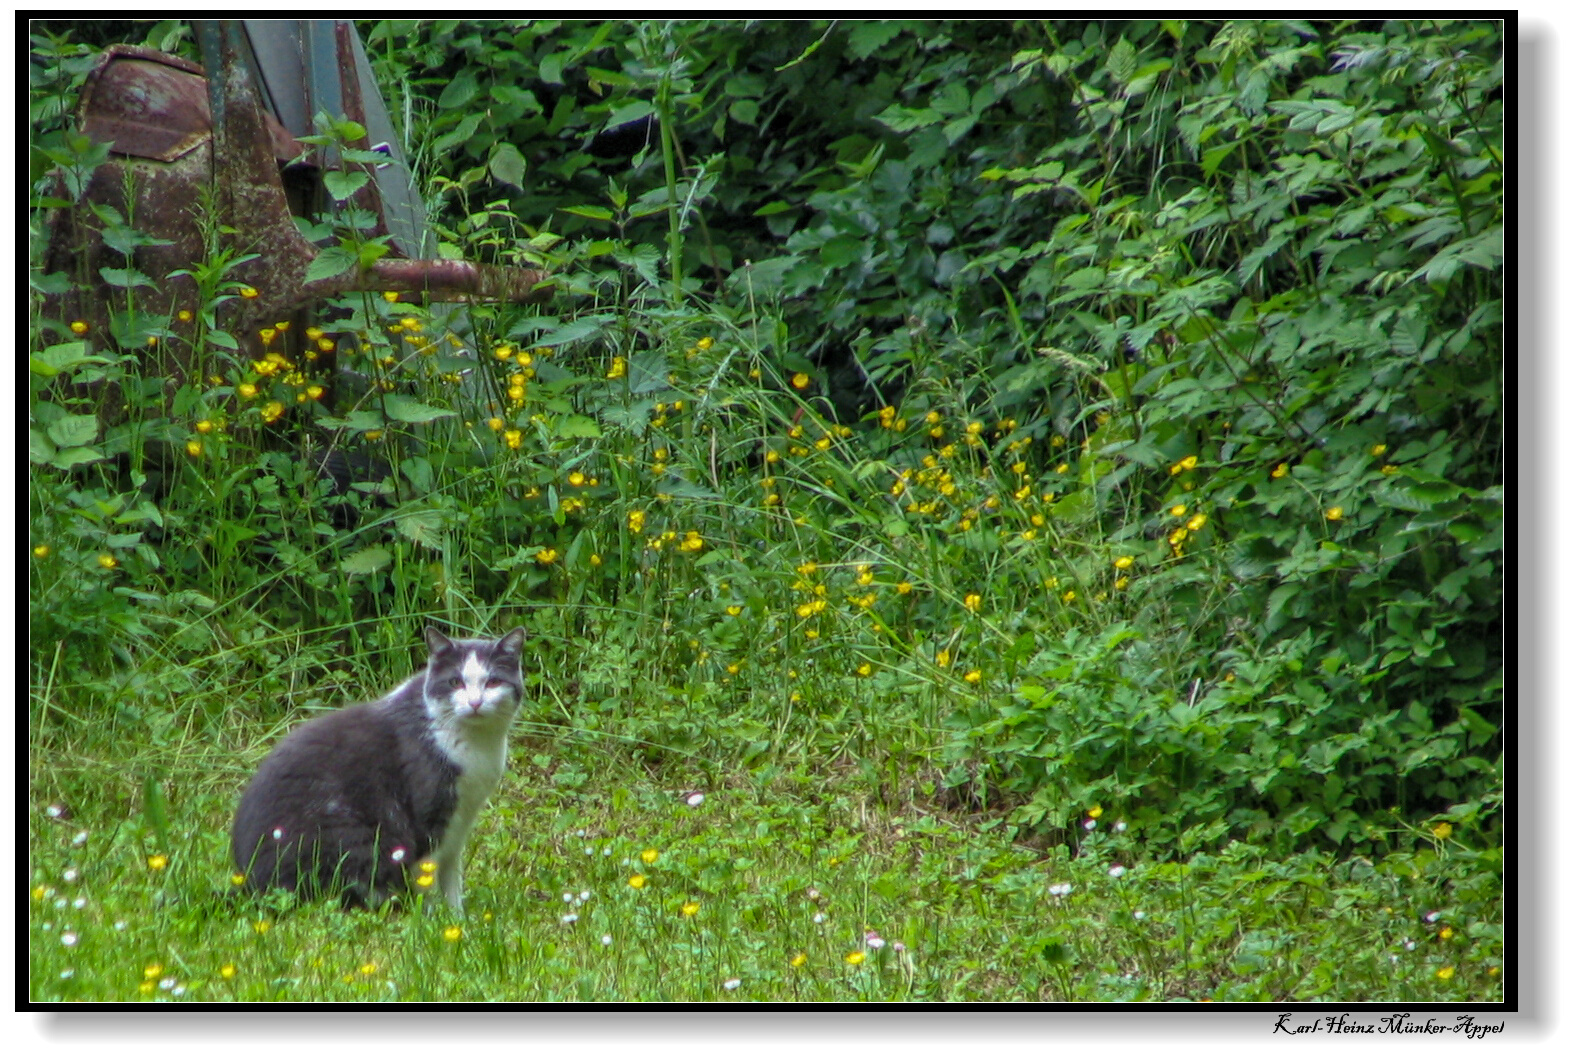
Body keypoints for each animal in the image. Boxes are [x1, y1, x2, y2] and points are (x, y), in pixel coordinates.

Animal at [228, 624, 526, 914]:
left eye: (493, 682)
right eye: (455, 682)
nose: (475, 703)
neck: (478, 745)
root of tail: (249, 884)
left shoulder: (460, 821)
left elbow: (451, 876)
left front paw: (458, 919)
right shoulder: (431, 818)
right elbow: (428, 877)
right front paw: (432, 918)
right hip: (353, 841)